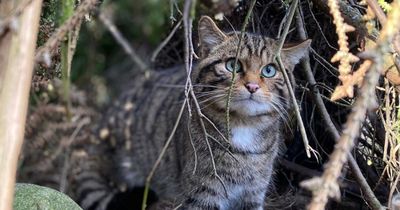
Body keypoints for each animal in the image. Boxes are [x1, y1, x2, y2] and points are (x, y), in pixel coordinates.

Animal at [76, 15, 310, 209]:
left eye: (269, 70)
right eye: (232, 65)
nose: (252, 86)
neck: (244, 127)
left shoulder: (253, 195)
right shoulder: (202, 194)